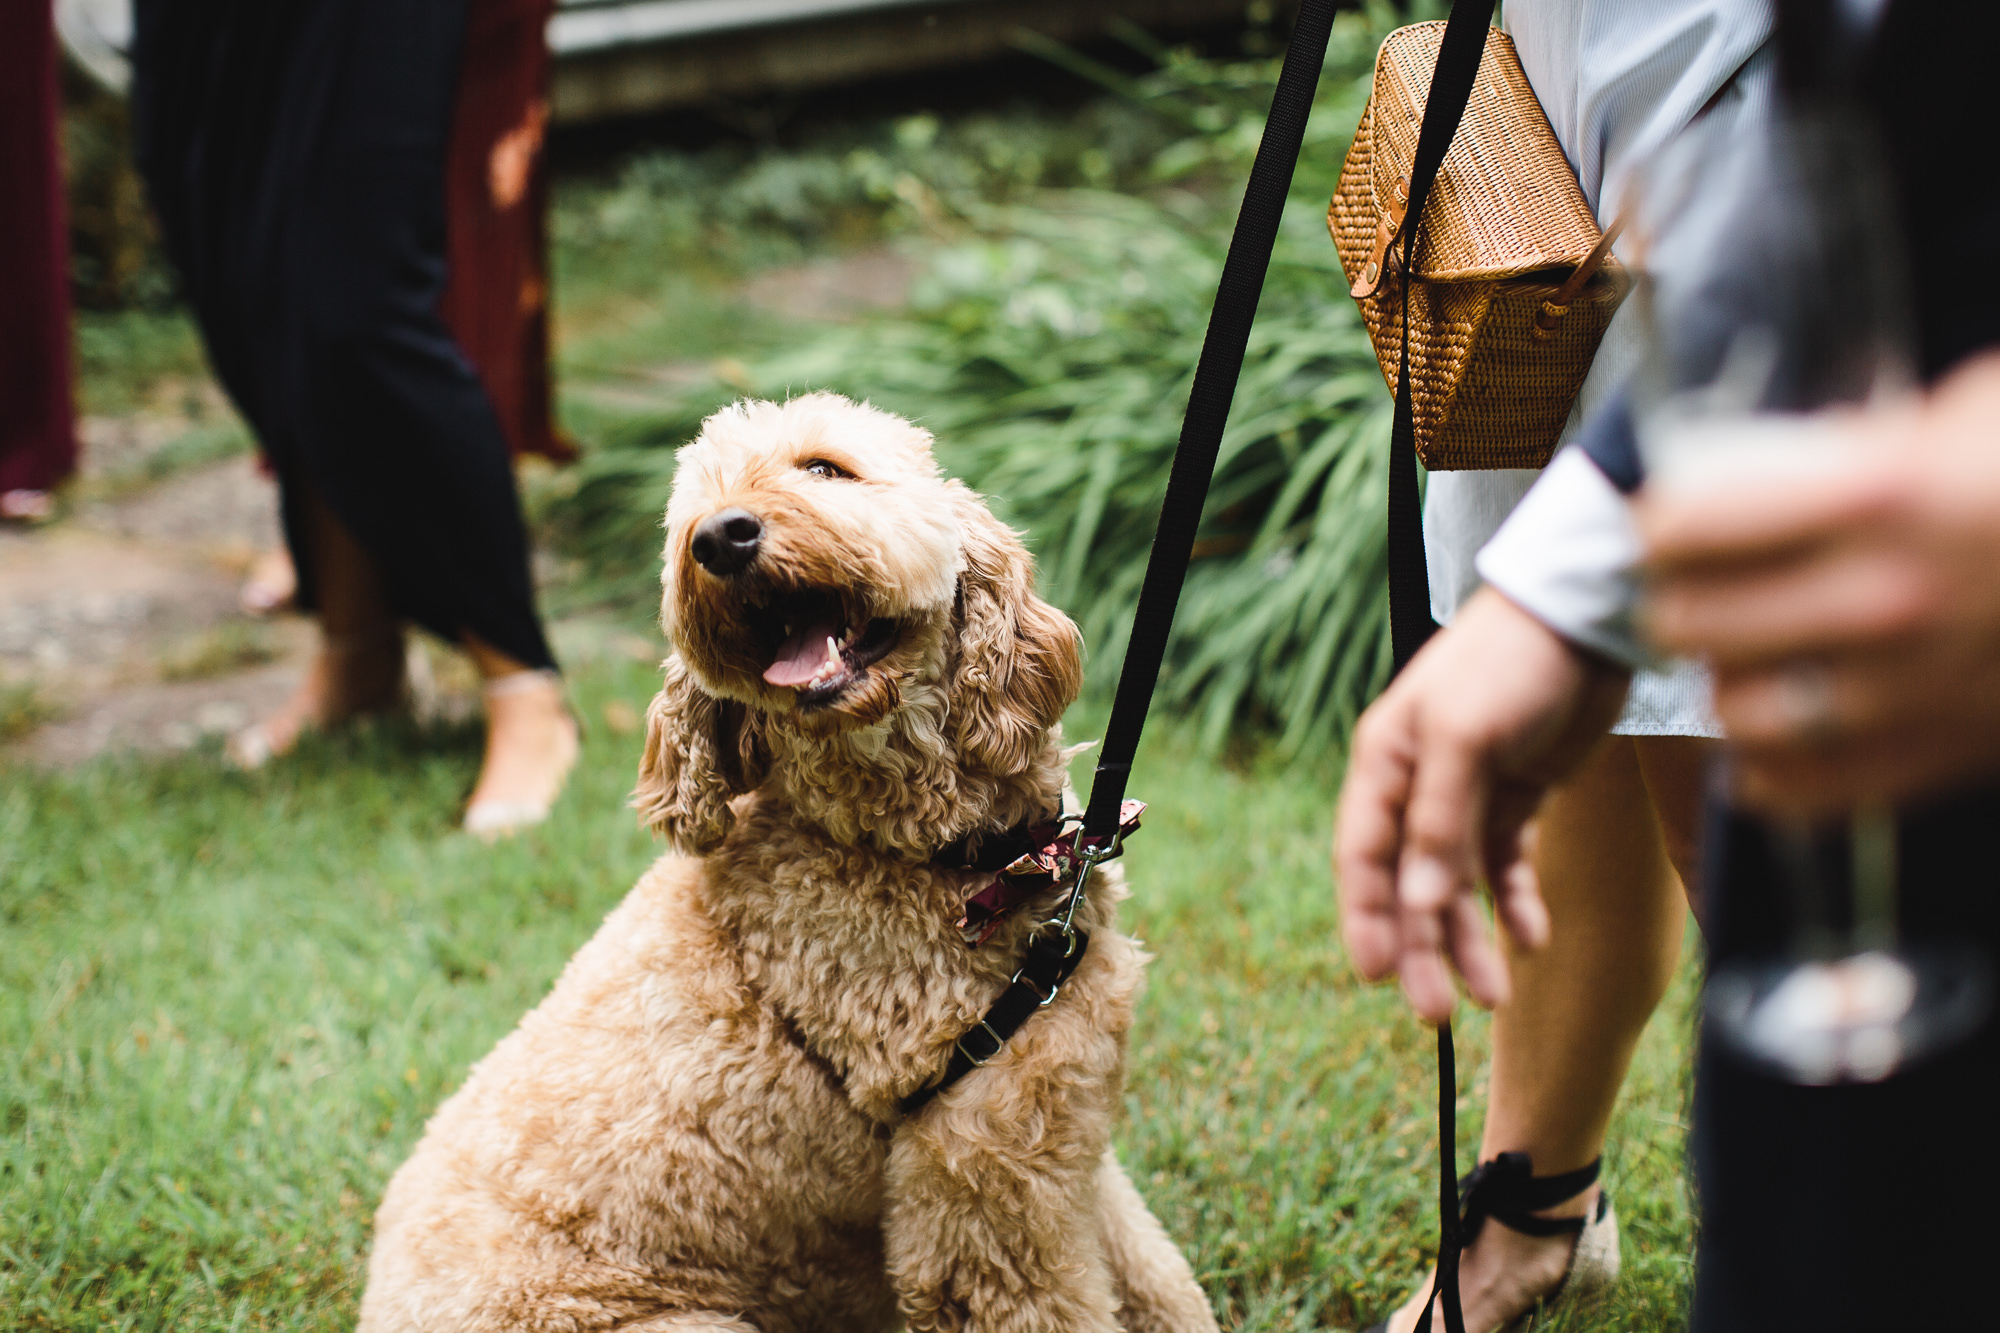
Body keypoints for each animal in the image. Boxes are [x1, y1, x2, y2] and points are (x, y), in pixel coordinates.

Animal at [360, 390, 1216, 1320]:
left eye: (824, 469)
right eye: (688, 516)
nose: (720, 536)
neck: (915, 853)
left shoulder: (1062, 1129)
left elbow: (1153, 1271)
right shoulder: (983, 1185)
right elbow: (1051, 1297)